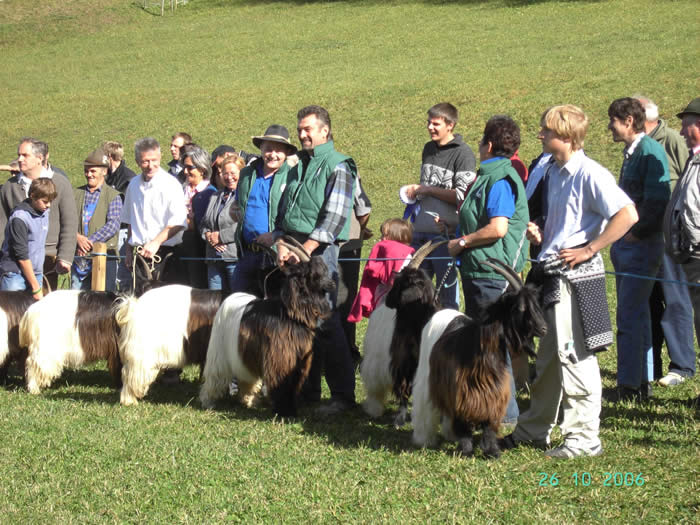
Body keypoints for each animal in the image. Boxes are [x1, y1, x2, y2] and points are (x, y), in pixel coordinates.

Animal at [201, 237, 334, 418]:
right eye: (313, 274)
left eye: (324, 270)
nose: (332, 284)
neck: (288, 315)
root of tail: (230, 299)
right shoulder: (280, 358)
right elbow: (282, 384)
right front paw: (283, 412)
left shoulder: (298, 360)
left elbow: (293, 385)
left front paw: (291, 411)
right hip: (220, 351)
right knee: (216, 375)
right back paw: (208, 402)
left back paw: (248, 401)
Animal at [360, 241, 448, 426]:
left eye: (400, 283)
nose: (389, 300)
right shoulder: (402, 362)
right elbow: (403, 389)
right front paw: (400, 418)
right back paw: (373, 408)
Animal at [410, 260, 548, 456]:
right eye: (521, 307)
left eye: (536, 305)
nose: (544, 328)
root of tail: (443, 312)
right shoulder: (460, 393)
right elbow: (462, 423)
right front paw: (466, 450)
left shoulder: (492, 393)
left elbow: (489, 424)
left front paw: (491, 451)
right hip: (427, 375)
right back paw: (424, 439)